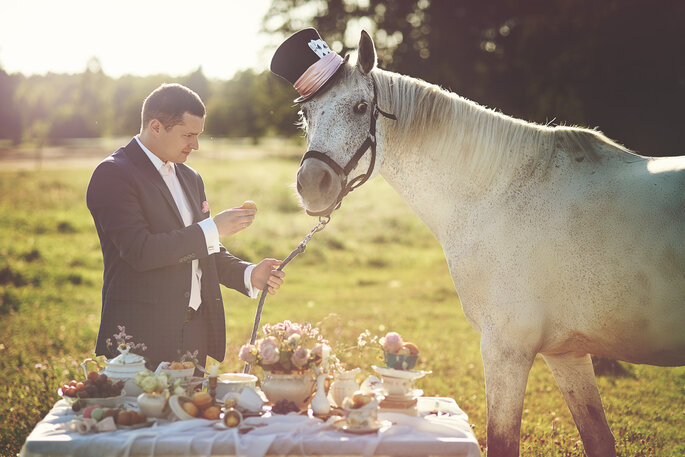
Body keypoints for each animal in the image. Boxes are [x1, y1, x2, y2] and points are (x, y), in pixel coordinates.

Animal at [294, 30, 684, 454]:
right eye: (307, 114)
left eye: (360, 107)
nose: (311, 184)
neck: (500, 193)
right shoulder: (566, 353)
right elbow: (597, 437)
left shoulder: (505, 349)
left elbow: (502, 440)